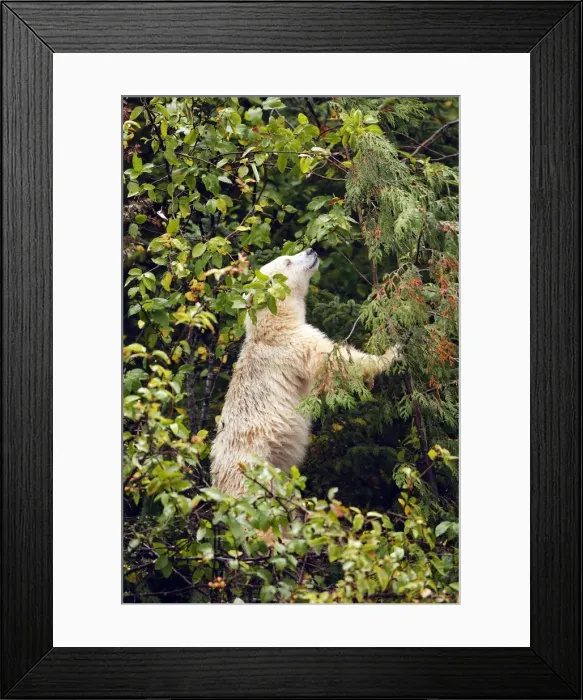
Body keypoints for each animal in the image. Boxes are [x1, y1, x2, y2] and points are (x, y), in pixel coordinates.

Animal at [210, 248, 400, 495]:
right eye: (287, 261)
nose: (311, 250)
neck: (272, 324)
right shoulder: (292, 344)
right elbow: (333, 360)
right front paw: (392, 353)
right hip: (251, 470)